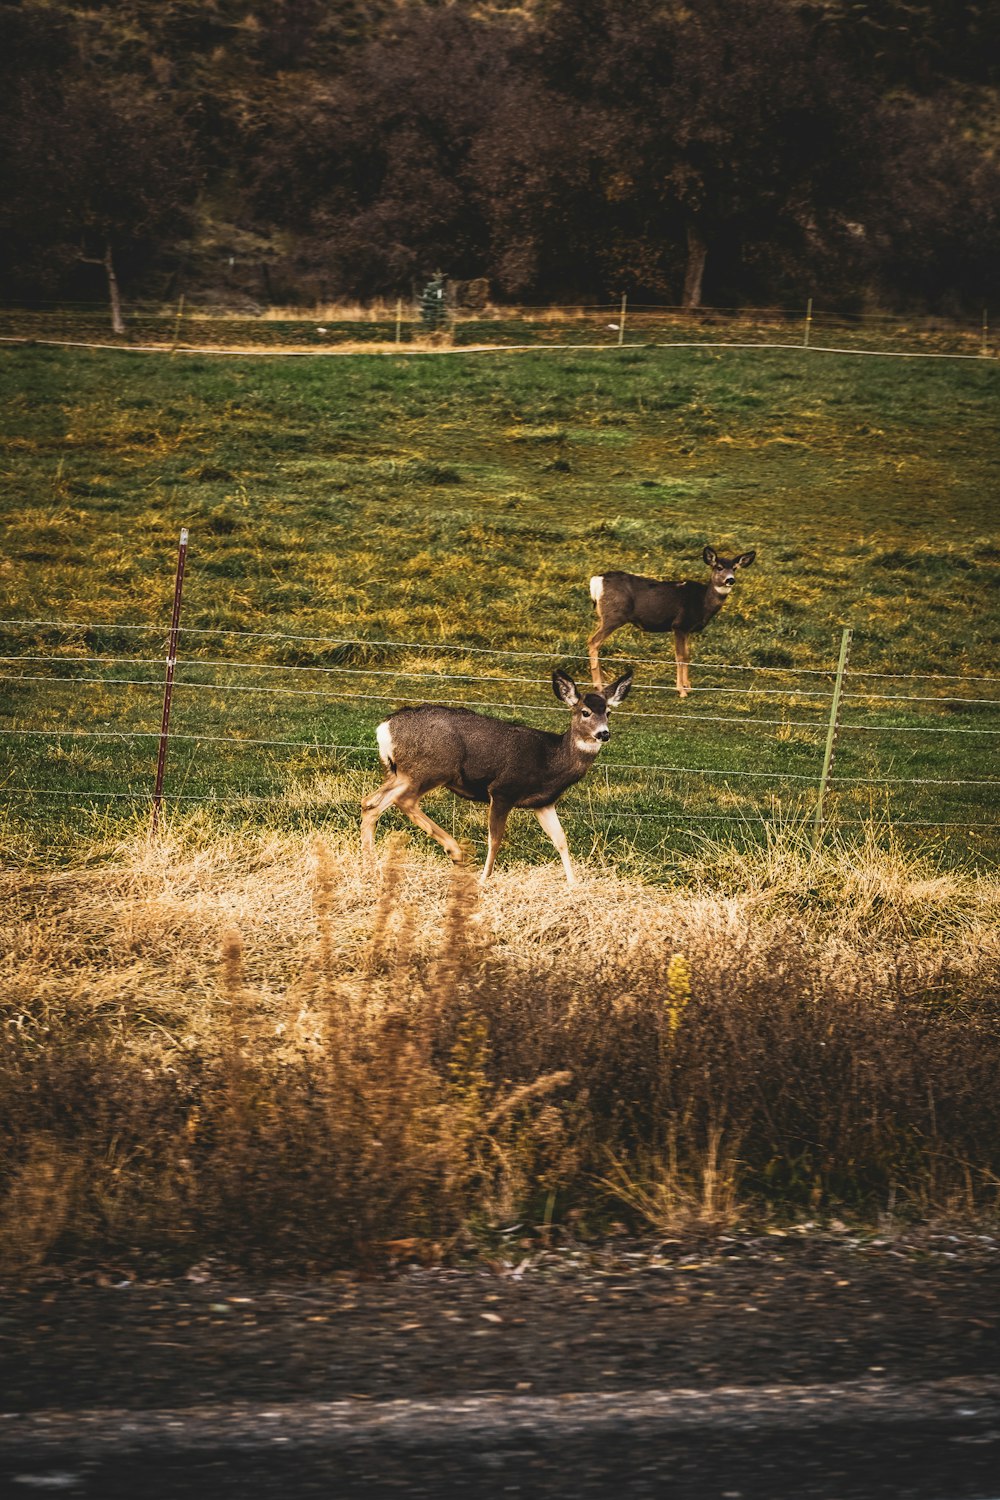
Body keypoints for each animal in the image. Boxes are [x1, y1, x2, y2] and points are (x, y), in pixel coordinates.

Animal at [364, 666, 632, 882]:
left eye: (608, 712)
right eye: (585, 712)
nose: (604, 733)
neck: (552, 759)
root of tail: (384, 728)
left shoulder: (543, 803)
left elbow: (561, 839)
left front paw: (573, 884)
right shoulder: (503, 789)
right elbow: (495, 839)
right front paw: (484, 879)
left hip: (399, 772)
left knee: (370, 803)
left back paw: (371, 864)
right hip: (432, 767)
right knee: (403, 800)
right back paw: (456, 852)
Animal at [587, 546, 758, 696]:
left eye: (735, 568)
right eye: (719, 567)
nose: (730, 580)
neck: (703, 602)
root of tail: (597, 580)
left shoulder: (688, 629)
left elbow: (688, 656)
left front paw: (688, 687)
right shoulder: (679, 625)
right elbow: (680, 656)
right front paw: (681, 690)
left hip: (603, 617)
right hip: (614, 616)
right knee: (593, 641)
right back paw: (598, 685)